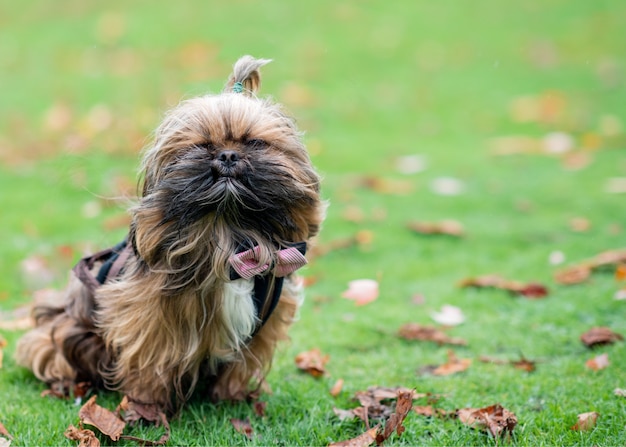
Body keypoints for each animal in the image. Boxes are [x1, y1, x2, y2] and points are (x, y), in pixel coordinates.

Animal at [17, 56, 324, 416]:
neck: (227, 236)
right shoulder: (152, 316)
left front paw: (231, 399)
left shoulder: (265, 321)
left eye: (254, 142)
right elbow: (152, 362)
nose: (227, 155)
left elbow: (241, 365)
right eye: (203, 145)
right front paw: (146, 407)